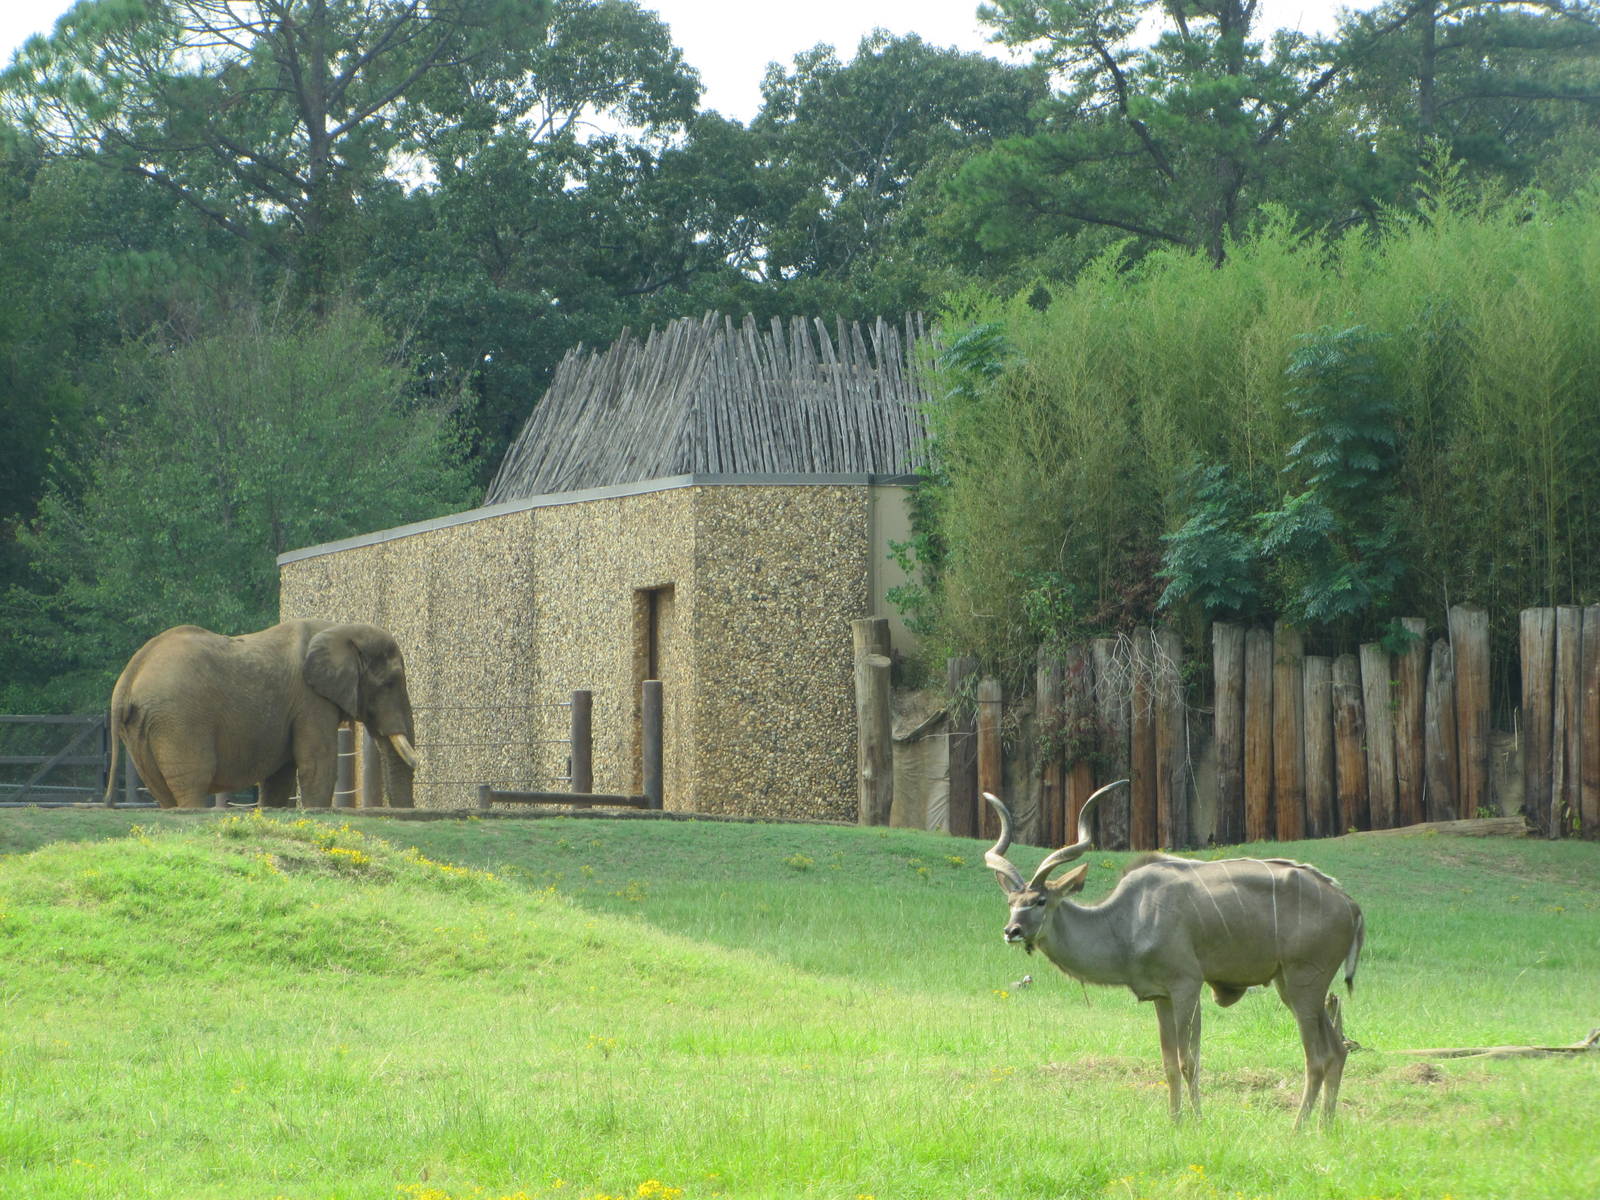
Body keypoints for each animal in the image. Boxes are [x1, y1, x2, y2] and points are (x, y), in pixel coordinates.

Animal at [103, 619, 419, 810]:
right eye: (390, 683)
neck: (341, 629)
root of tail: (128, 677)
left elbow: (281, 776)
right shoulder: (310, 701)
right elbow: (317, 764)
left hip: (144, 727)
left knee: (162, 790)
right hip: (178, 720)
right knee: (193, 782)